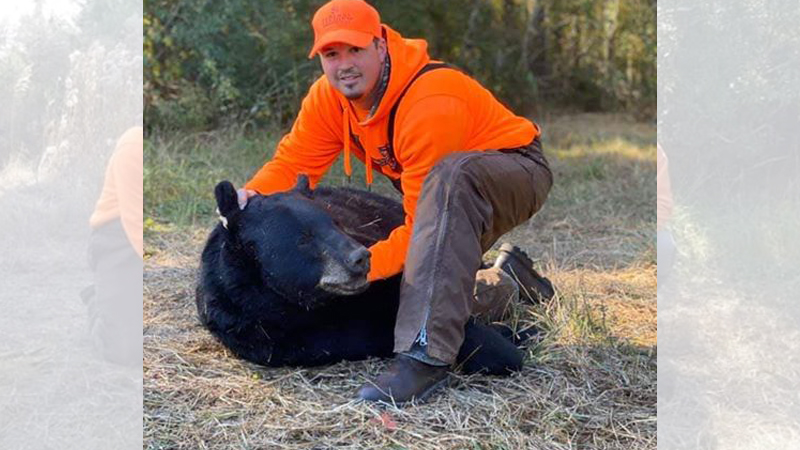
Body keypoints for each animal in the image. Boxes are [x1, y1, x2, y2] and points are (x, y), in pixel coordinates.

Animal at [195, 175, 532, 375]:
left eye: (334, 222)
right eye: (303, 238)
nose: (360, 258)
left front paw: (512, 335)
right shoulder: (268, 335)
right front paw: (504, 339)